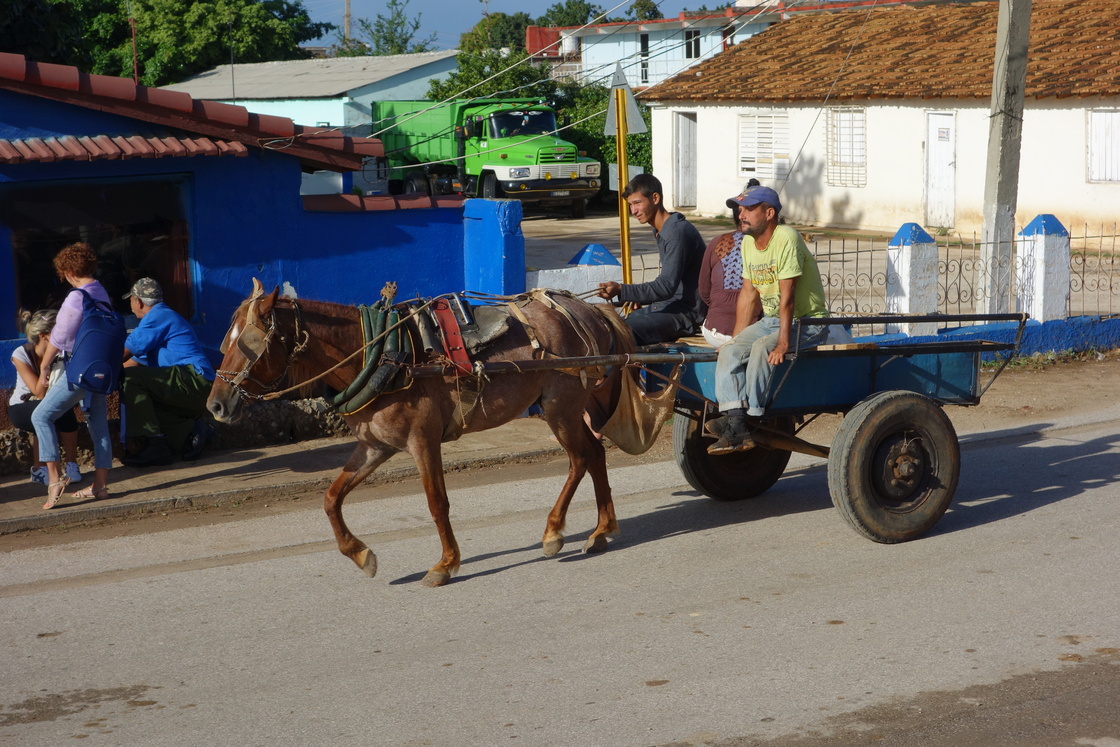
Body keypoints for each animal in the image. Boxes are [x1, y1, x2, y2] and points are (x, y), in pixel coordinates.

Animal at [206, 277, 636, 586]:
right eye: (226, 341)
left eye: (248, 345)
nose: (215, 405)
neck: (381, 354)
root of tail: (589, 309)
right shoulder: (374, 445)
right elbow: (331, 498)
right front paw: (360, 554)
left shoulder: (422, 441)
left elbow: (436, 502)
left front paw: (445, 564)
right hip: (566, 408)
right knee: (594, 454)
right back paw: (601, 530)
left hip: (561, 407)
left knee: (581, 457)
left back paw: (555, 532)